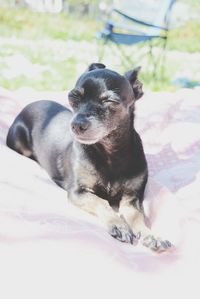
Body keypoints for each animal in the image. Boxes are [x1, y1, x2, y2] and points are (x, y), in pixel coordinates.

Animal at [6, 63, 172, 253]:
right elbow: (101, 201)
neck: (110, 152)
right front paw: (118, 224)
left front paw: (152, 236)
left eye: (109, 101)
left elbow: (137, 217)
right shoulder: (77, 192)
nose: (77, 124)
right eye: (73, 97)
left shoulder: (132, 198)